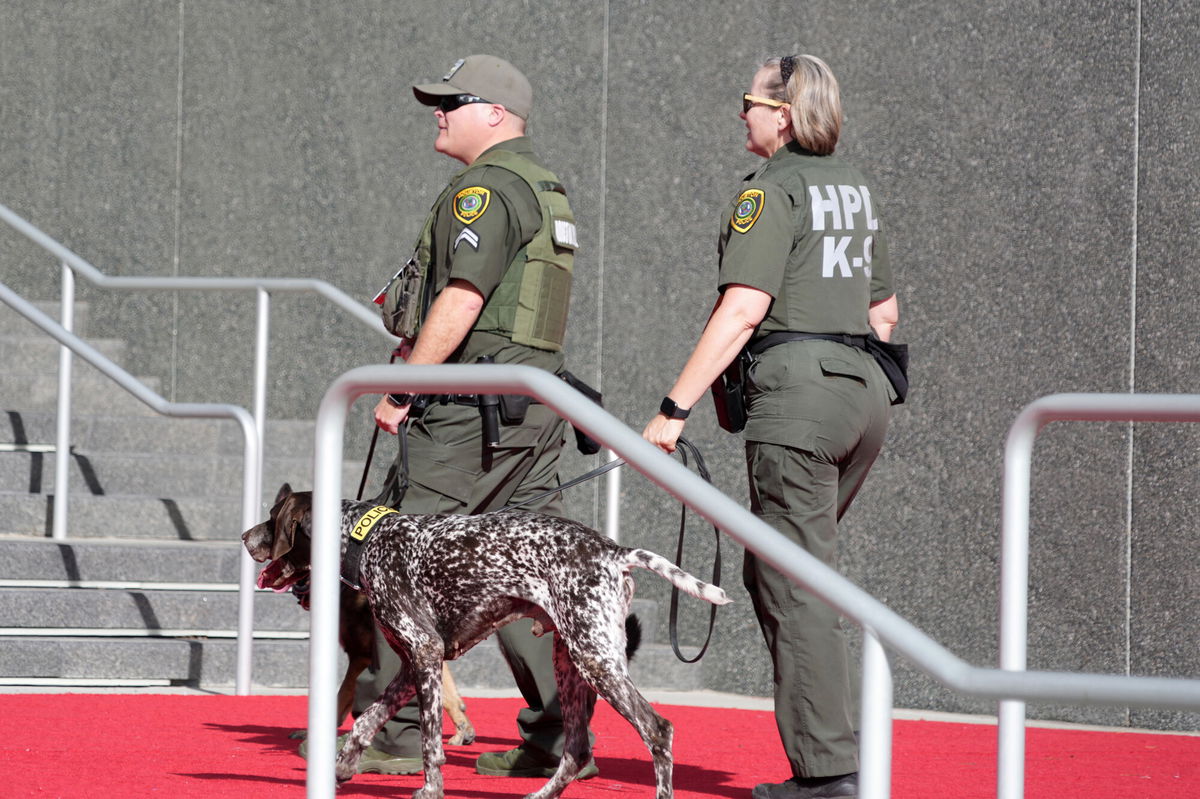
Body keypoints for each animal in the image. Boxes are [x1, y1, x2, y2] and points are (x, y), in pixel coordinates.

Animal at [241, 479, 729, 796]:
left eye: (272, 518)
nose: (245, 536)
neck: (370, 540)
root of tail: (613, 551)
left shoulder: (425, 654)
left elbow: (429, 742)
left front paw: (429, 790)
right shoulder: (414, 664)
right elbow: (365, 721)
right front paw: (341, 768)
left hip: (595, 660)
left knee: (657, 731)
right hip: (570, 663)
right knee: (573, 750)